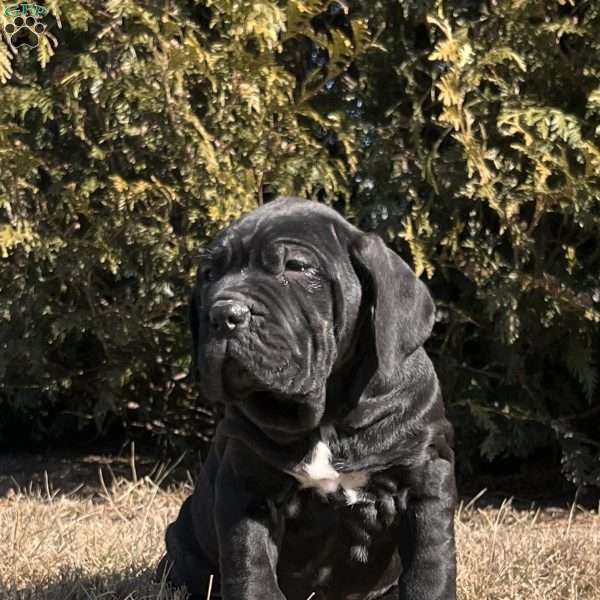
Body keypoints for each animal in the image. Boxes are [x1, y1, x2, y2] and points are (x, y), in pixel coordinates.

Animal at [157, 198, 458, 600]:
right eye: (208, 275)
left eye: (296, 267)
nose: (223, 314)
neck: (327, 416)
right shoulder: (246, 488)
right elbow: (250, 565)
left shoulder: (426, 477)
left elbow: (430, 564)